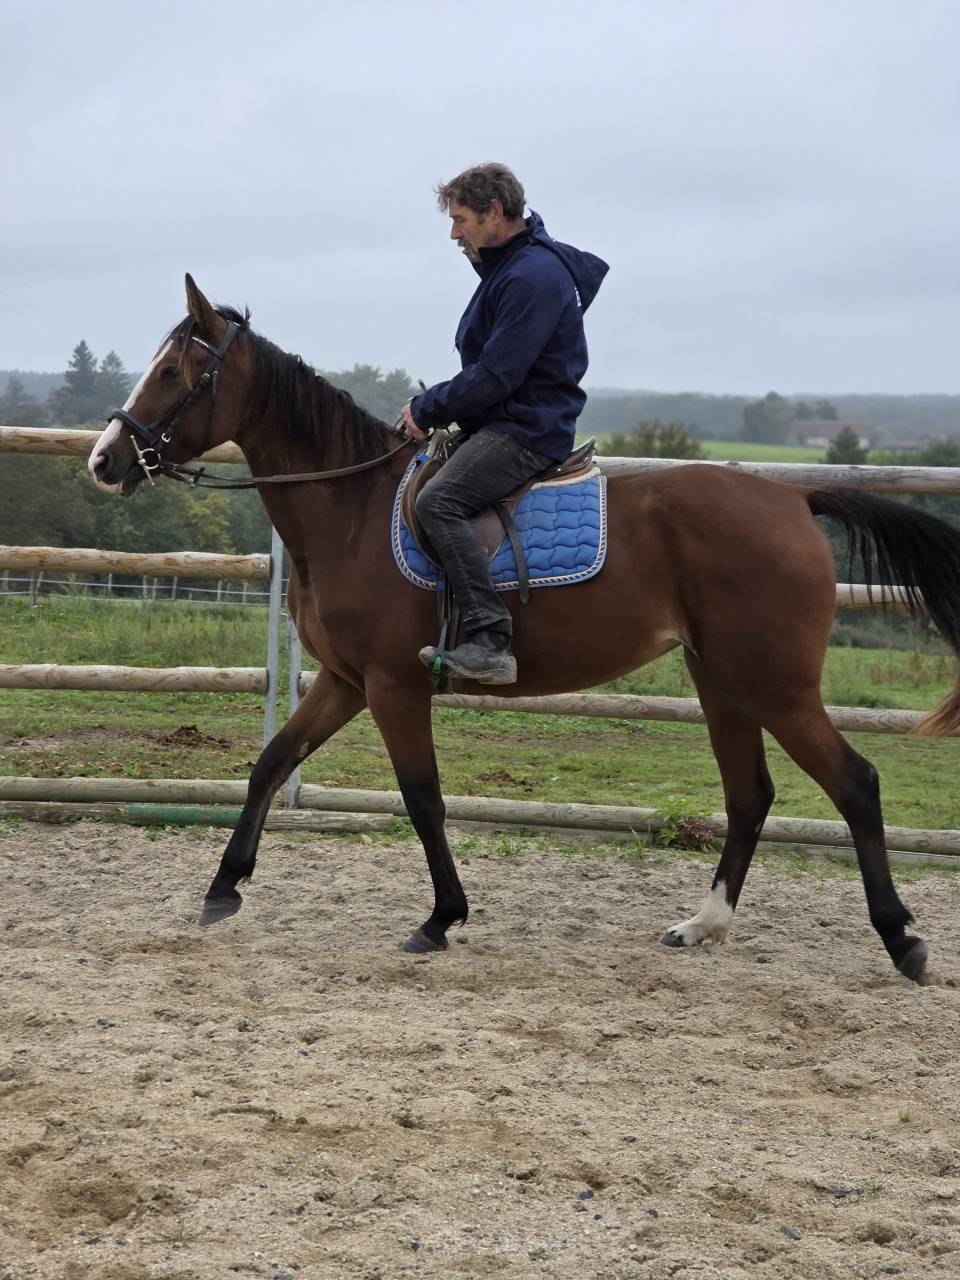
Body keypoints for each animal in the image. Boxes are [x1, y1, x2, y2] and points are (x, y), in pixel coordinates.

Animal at [88, 275, 960, 982]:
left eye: (173, 373)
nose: (104, 459)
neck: (353, 510)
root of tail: (794, 499)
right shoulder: (343, 682)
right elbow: (270, 765)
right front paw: (222, 888)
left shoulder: (394, 686)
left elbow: (423, 799)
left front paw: (440, 919)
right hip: (723, 682)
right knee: (750, 795)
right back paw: (703, 925)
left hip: (774, 684)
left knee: (854, 784)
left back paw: (901, 941)